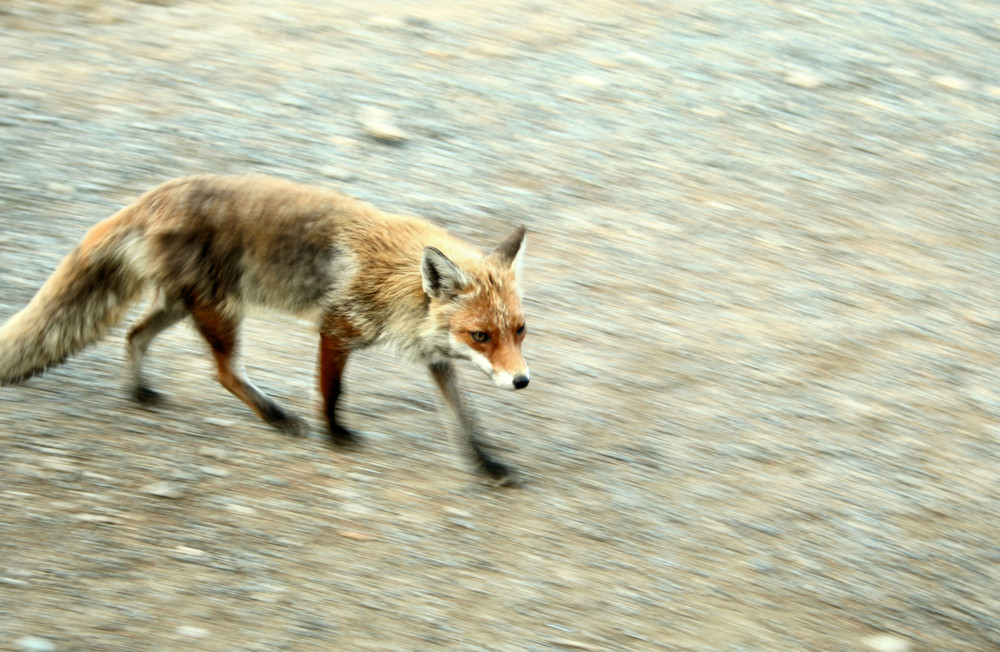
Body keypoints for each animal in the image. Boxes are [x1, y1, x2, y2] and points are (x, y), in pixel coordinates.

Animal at [0, 173, 532, 484]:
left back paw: (138, 391)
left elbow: (464, 421)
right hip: (221, 311)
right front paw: (334, 434)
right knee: (224, 373)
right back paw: (276, 416)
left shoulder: (436, 359)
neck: (399, 284)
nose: (522, 381)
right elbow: (331, 392)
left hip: (181, 306)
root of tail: (154, 196)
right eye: (480, 336)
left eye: (520, 330)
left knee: (134, 335)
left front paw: (486, 465)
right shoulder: (335, 326)